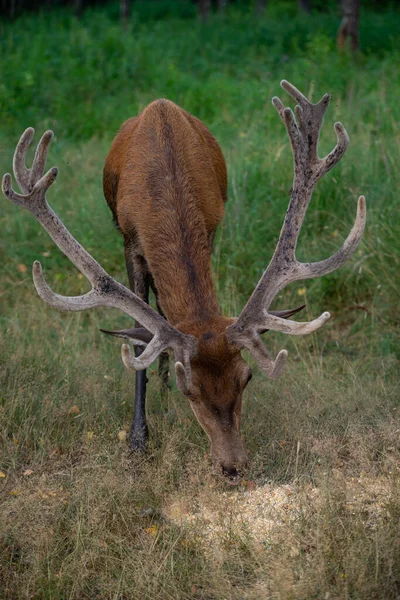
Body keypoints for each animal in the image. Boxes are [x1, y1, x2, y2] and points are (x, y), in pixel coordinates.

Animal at [3, 81, 366, 482]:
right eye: (190, 391)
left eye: (246, 378)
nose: (233, 466)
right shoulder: (130, 240)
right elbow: (138, 334)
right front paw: (138, 440)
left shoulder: (212, 224)